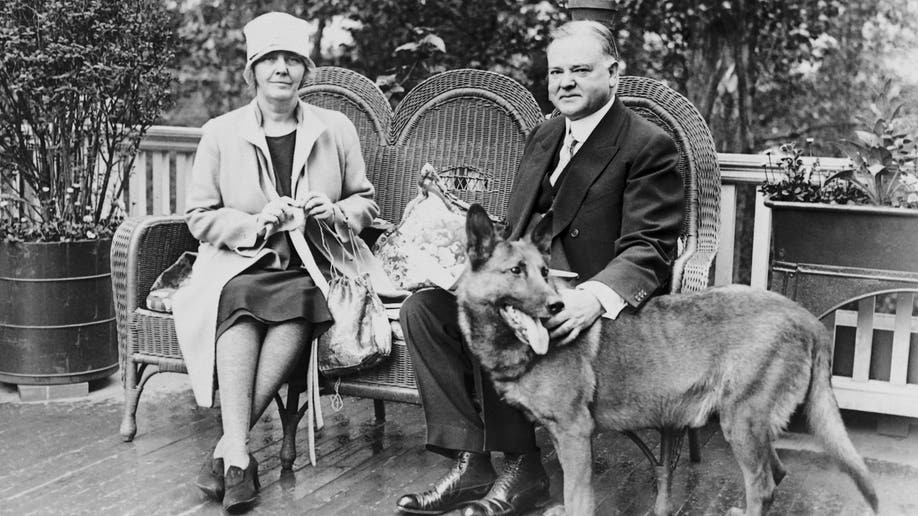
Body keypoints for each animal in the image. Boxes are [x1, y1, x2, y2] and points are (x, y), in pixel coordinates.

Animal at [456, 206, 880, 516]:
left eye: (545, 273)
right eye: (516, 271)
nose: (557, 306)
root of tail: (805, 317)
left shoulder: (574, 435)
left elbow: (579, 499)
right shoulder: (563, 437)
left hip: (740, 422)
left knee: (763, 487)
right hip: (751, 426)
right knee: (776, 474)